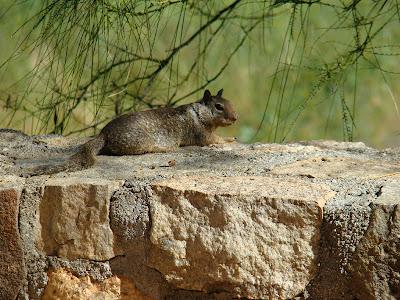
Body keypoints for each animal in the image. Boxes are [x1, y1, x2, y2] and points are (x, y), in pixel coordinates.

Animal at [32, 88, 238, 173]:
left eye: (230, 102)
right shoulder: (201, 133)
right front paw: (230, 140)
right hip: (141, 141)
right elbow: (214, 140)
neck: (198, 113)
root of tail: (103, 134)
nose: (235, 118)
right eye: (219, 106)